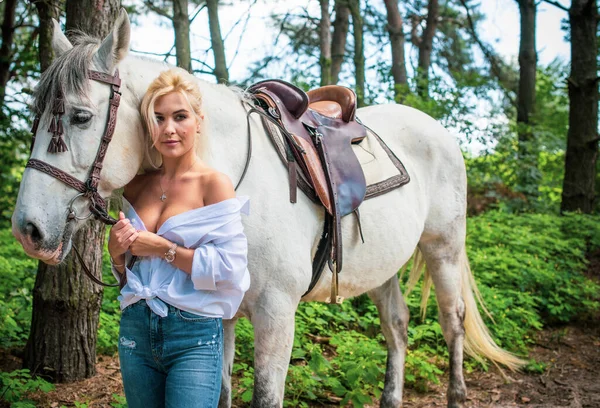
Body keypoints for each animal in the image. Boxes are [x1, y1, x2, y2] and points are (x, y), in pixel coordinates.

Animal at [11, 11, 524, 406]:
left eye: (80, 117)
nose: (27, 229)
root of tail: (436, 129)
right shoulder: (218, 313)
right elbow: (220, 393)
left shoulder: (276, 313)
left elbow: (264, 395)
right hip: (381, 265)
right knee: (397, 326)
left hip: (443, 248)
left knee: (452, 322)